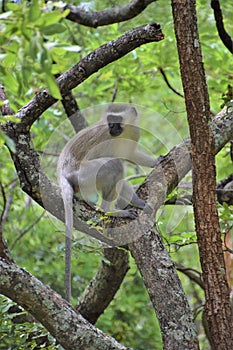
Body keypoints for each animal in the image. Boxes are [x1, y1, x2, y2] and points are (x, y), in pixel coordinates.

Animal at [57, 103, 157, 300]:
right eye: (109, 121)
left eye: (117, 121)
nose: (112, 129)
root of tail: (63, 173)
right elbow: (119, 166)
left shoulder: (134, 134)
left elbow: (131, 155)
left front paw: (157, 162)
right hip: (83, 175)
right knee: (115, 165)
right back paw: (109, 211)